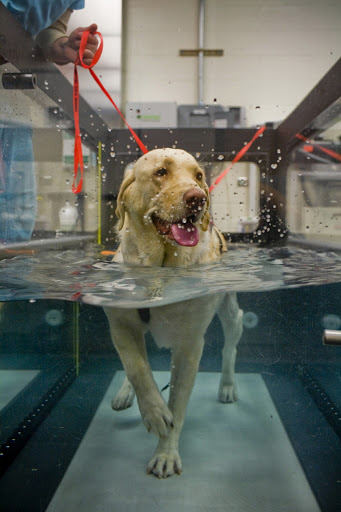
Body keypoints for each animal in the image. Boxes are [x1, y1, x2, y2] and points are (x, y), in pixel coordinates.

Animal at [103, 150, 242, 478]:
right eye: (161, 172)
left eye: (199, 175)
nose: (197, 198)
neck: (161, 266)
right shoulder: (120, 324)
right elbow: (137, 369)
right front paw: (154, 413)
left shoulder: (190, 343)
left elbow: (177, 401)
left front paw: (165, 453)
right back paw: (125, 394)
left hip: (231, 311)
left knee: (231, 344)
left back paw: (227, 386)